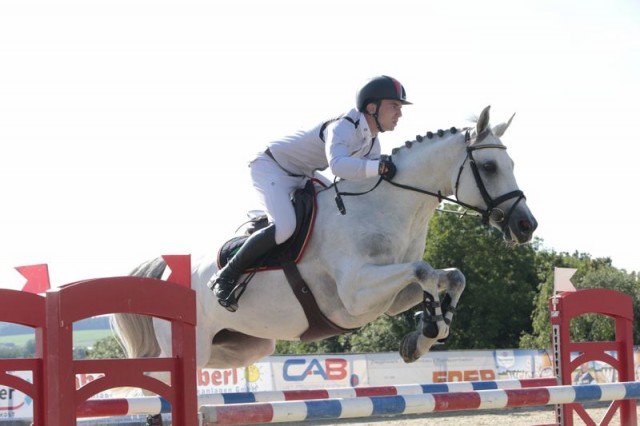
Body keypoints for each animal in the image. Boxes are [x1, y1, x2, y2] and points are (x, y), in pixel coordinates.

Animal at [114, 106, 536, 372]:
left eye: (512, 164)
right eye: (489, 166)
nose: (526, 225)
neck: (388, 205)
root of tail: (165, 273)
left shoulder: (389, 300)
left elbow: (449, 276)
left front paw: (426, 332)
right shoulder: (356, 296)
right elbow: (423, 270)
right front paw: (428, 326)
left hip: (244, 346)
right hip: (196, 345)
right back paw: (223, 285)